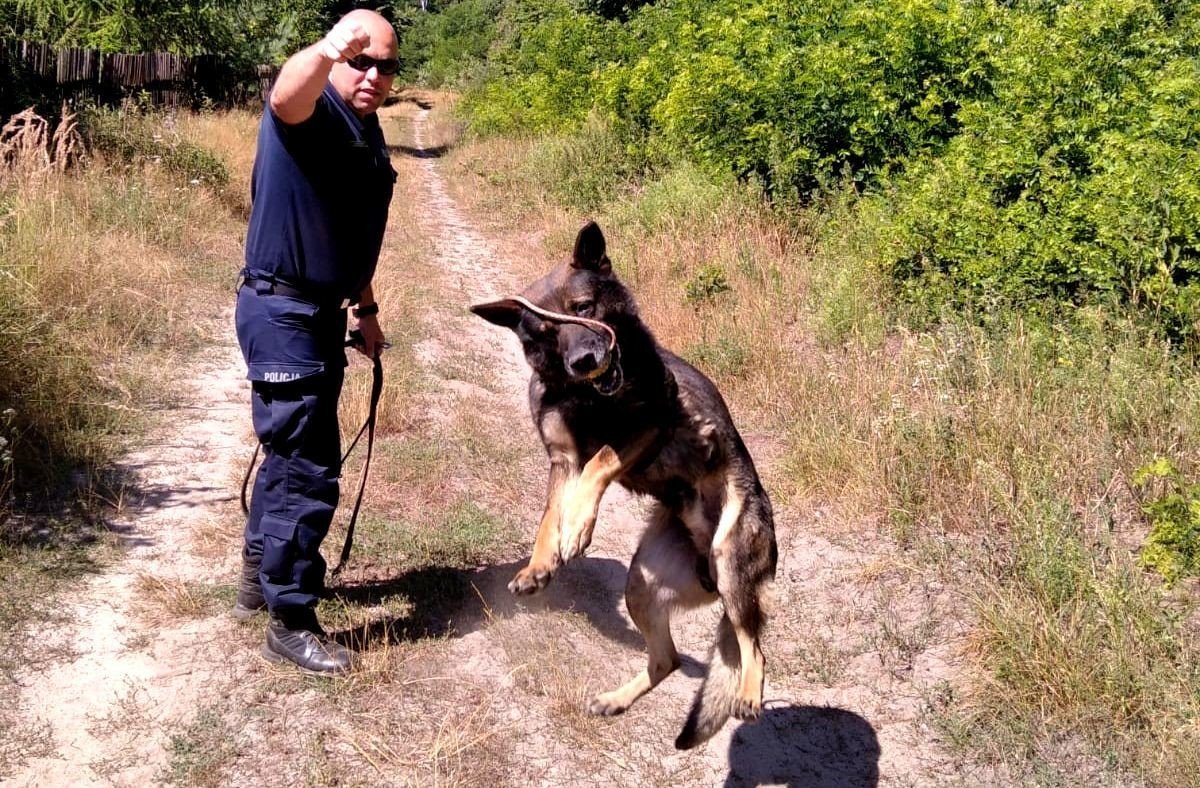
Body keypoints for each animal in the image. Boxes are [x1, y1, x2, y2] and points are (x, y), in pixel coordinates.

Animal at [468, 218, 777, 748]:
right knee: (667, 660)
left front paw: (577, 527)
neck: (586, 397)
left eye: (584, 308)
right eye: (547, 332)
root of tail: (707, 573)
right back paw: (617, 699)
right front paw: (540, 563)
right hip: (641, 585)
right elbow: (549, 513)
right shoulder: (561, 460)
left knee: (753, 646)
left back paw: (750, 693)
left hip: (731, 563)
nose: (585, 360)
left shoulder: (647, 427)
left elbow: (600, 462)